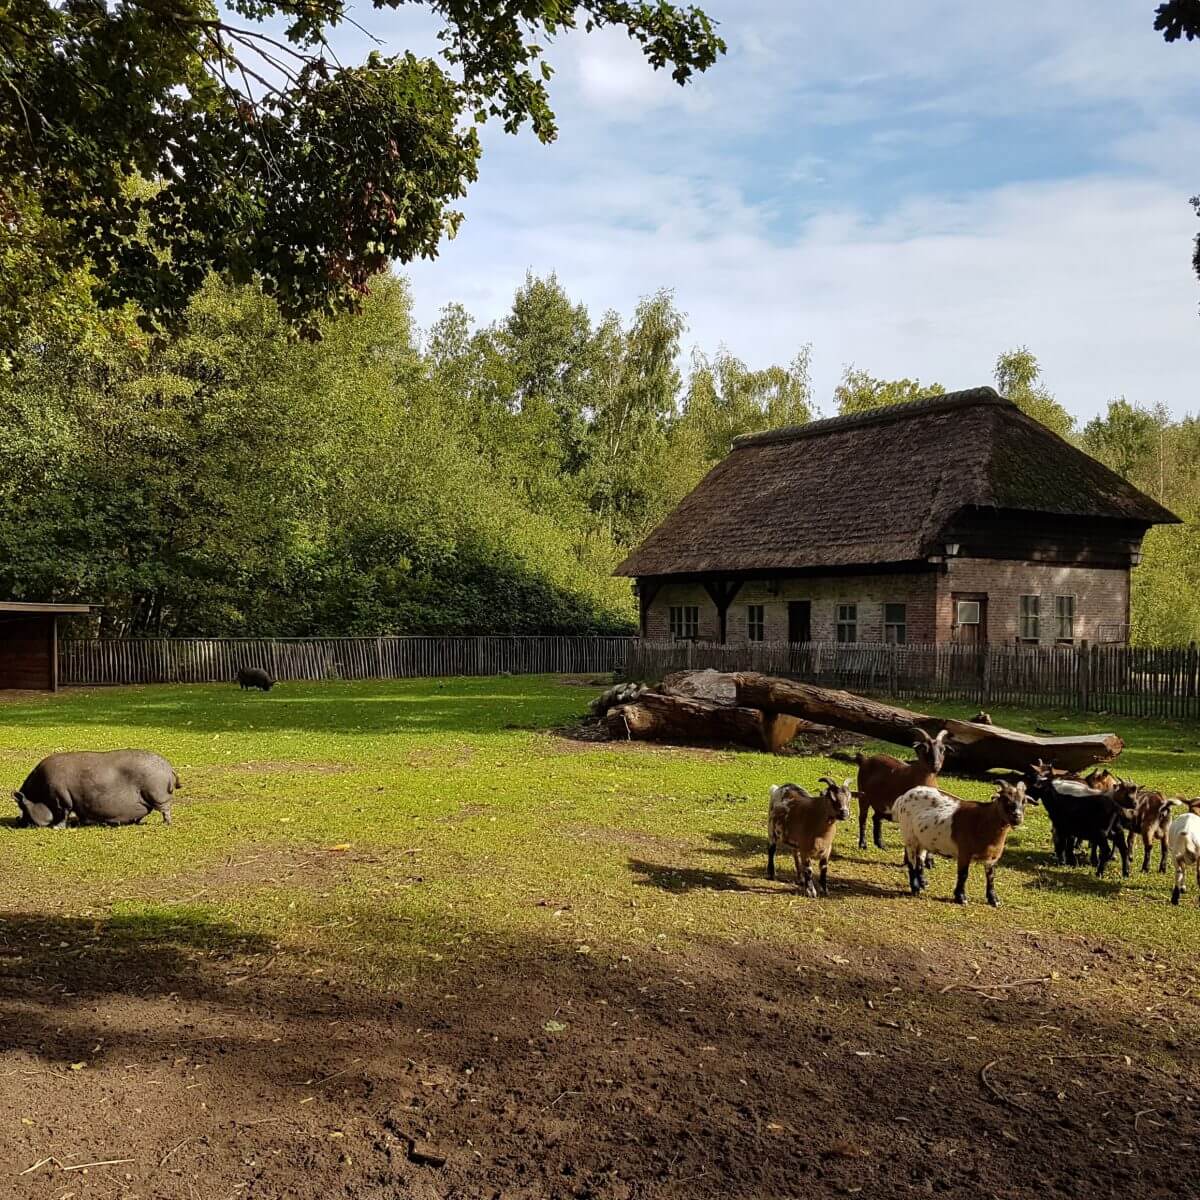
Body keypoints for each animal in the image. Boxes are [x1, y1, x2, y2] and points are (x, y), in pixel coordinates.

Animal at [14, 748, 180, 825]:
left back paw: (166, 824)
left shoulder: (60, 798)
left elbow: (63, 813)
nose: (18, 821)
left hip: (157, 793)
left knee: (165, 809)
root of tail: (168, 767)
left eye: (22, 808)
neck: (39, 793)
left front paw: (56, 827)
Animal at [892, 782, 1032, 902]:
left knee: (919, 860)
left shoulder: (992, 857)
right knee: (911, 862)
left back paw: (923, 883)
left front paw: (993, 899)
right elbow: (963, 874)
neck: (982, 821)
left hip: (922, 839)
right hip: (909, 836)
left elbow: (991, 877)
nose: (1017, 816)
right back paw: (915, 888)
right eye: (1005, 799)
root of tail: (903, 797)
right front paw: (961, 897)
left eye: (1024, 801)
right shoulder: (964, 852)